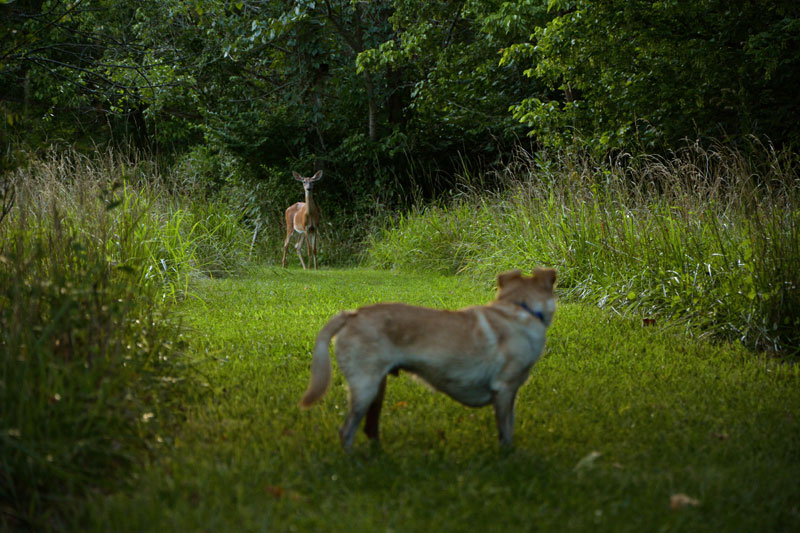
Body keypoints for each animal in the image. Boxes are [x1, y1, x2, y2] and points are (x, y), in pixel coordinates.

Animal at [300, 268, 556, 446]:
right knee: (346, 431)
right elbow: (506, 431)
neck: (520, 308)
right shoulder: (505, 389)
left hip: (377, 388)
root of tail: (352, 314)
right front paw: (508, 457)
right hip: (365, 387)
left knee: (369, 429)